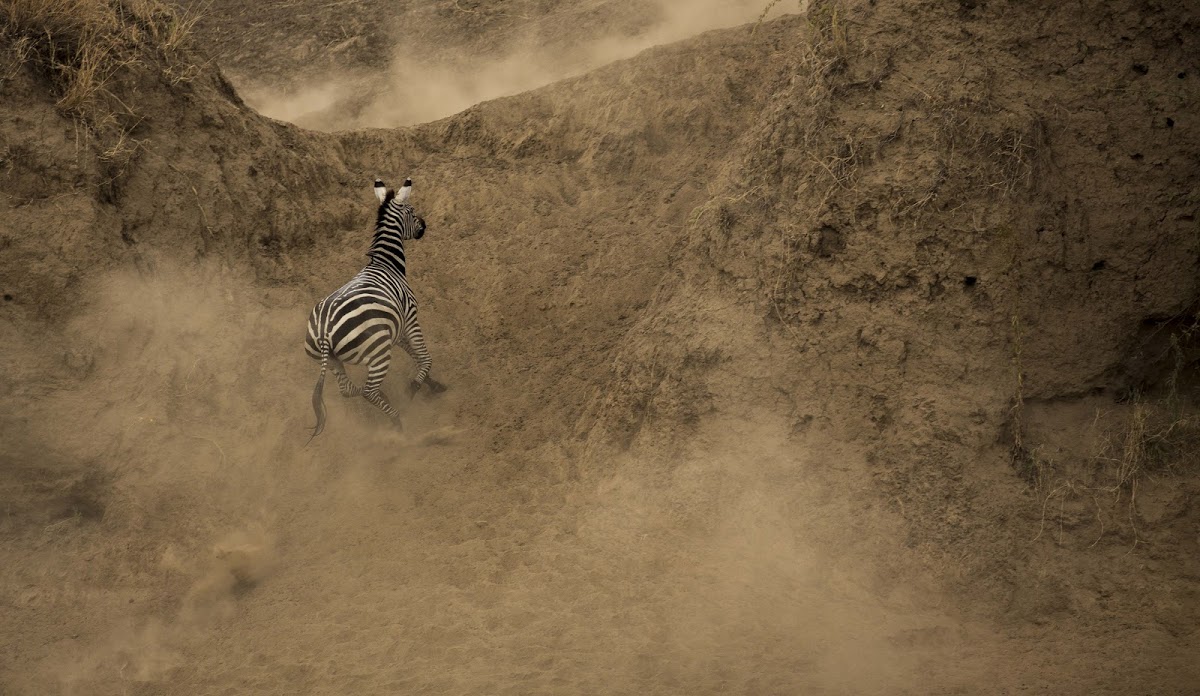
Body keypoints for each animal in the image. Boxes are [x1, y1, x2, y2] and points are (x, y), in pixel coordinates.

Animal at [304, 180, 446, 441]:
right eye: (412, 210)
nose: (424, 226)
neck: (386, 263)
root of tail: (324, 331)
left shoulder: (397, 329)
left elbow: (414, 354)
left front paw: (434, 385)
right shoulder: (410, 317)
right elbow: (424, 356)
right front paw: (415, 386)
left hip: (332, 360)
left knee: (349, 389)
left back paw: (385, 400)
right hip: (378, 352)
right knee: (368, 391)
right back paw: (396, 421)